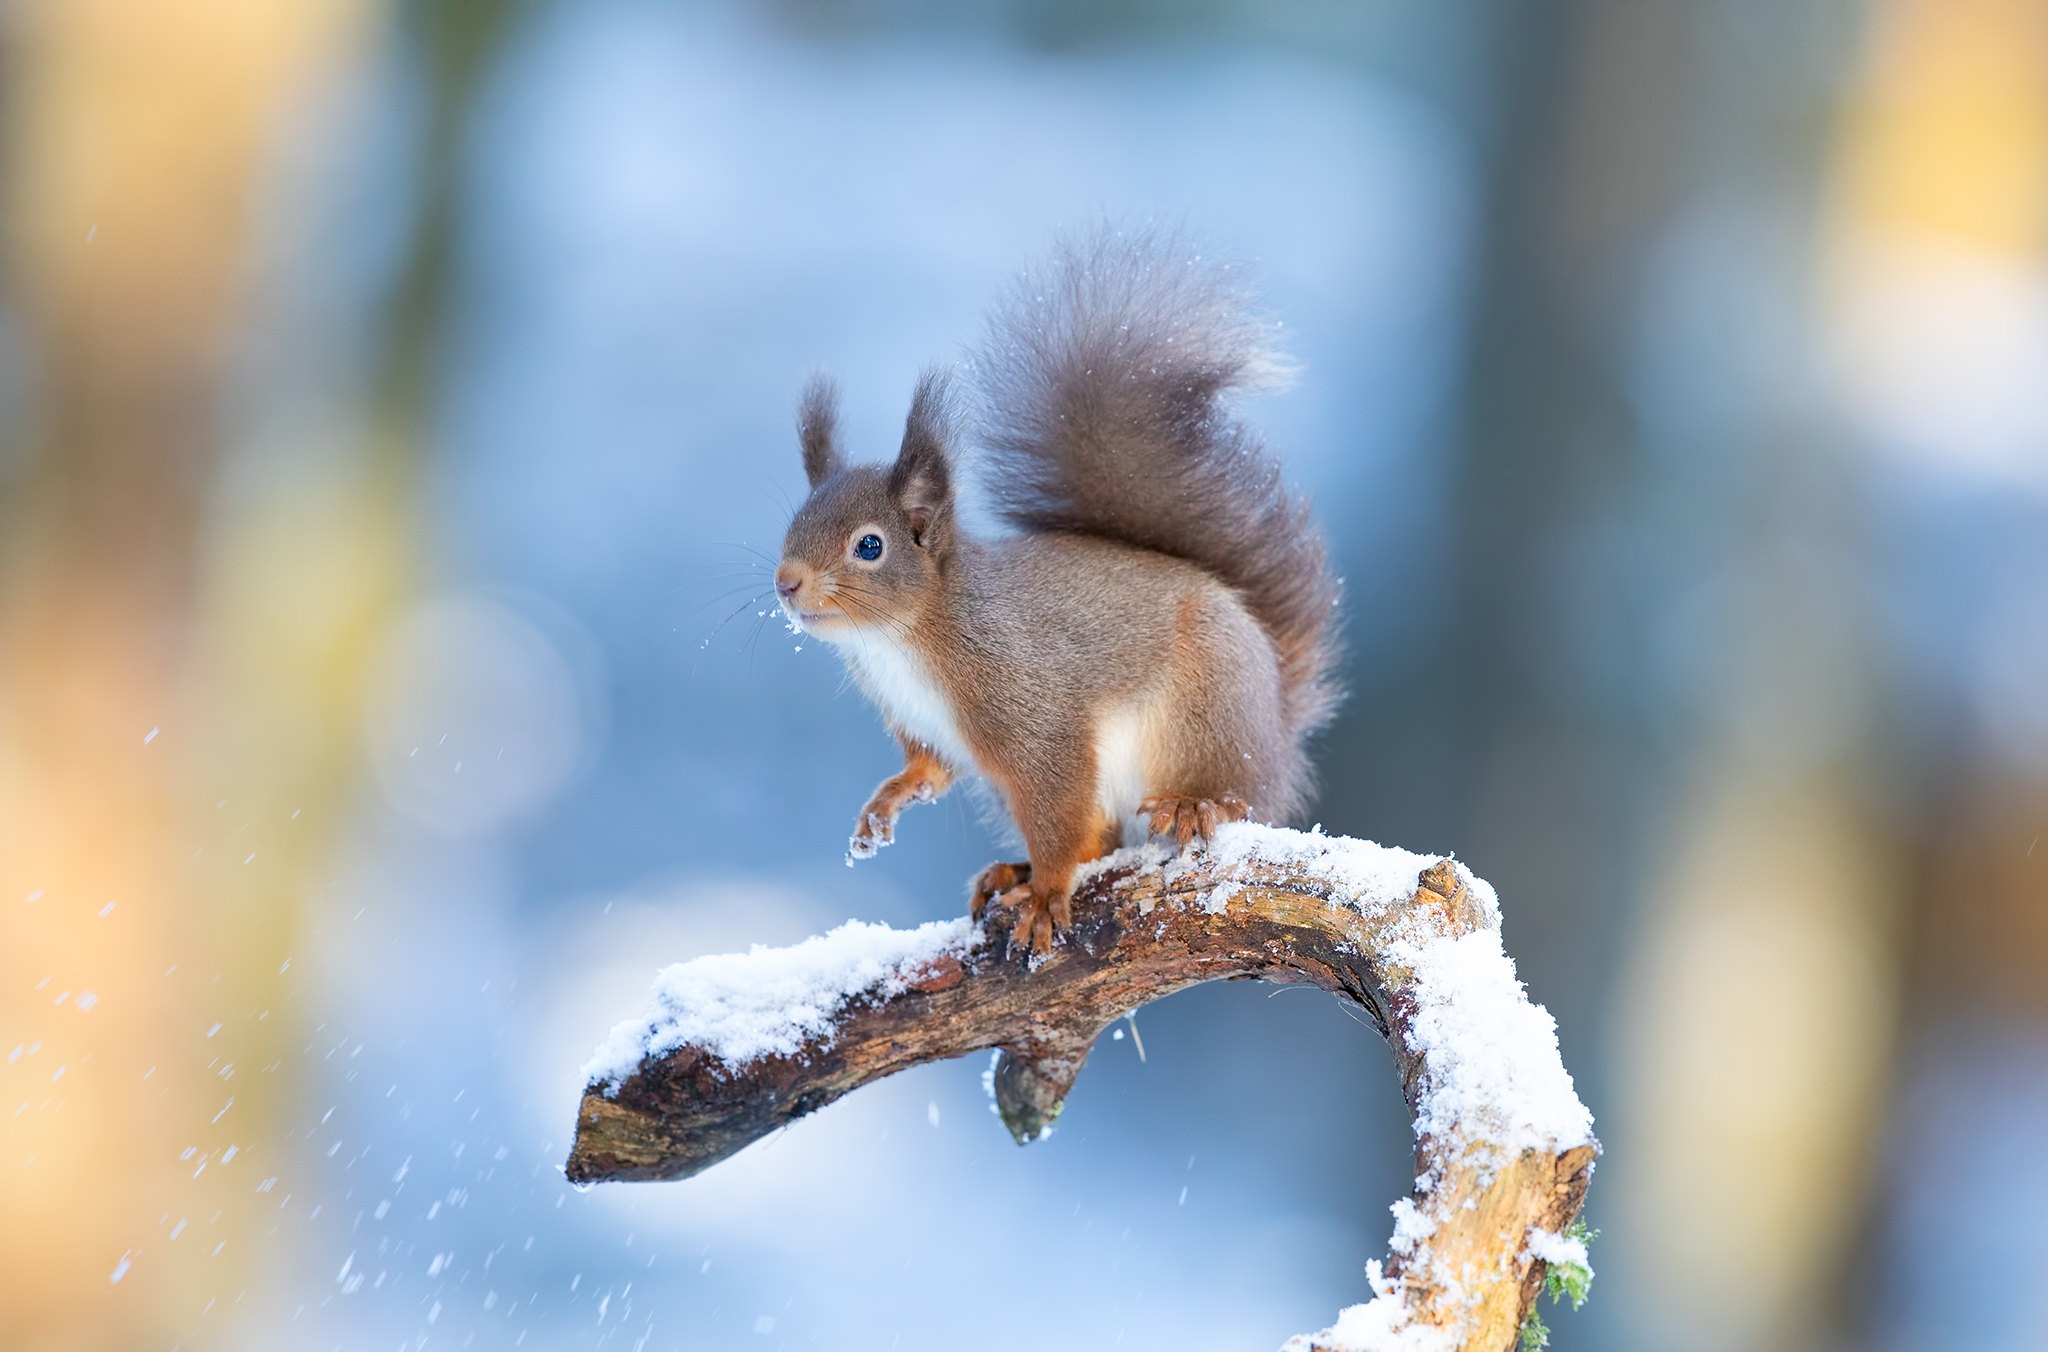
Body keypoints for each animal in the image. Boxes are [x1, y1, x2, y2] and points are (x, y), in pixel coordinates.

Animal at [774, 229, 1335, 950]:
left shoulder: (1034, 712)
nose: (786, 584)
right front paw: (886, 802)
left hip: (1205, 714)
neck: (900, 641)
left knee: (1219, 796)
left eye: (869, 546)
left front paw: (1044, 895)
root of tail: (1277, 732)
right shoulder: (925, 725)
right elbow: (929, 771)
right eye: (793, 523)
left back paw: (1191, 804)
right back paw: (1011, 870)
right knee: (1101, 839)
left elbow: (1056, 804)